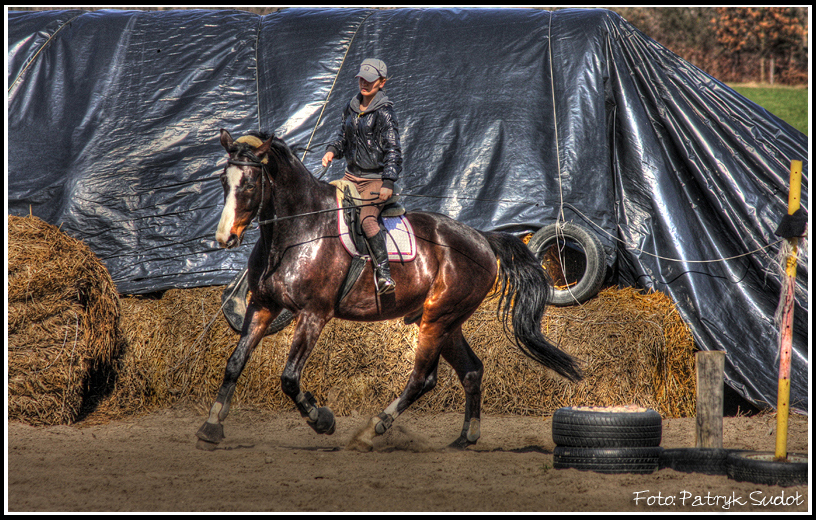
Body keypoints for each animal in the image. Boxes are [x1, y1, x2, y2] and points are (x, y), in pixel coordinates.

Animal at [195, 129, 584, 450]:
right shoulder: (262, 306)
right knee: (472, 370)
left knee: (423, 379)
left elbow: (289, 378)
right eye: (223, 180)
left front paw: (322, 420)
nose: (224, 238)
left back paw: (373, 431)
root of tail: (482, 237)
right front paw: (212, 426)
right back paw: (465, 438)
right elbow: (234, 363)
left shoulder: (313, 314)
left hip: (437, 320)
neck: (298, 230)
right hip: (448, 322)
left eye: (248, 182)